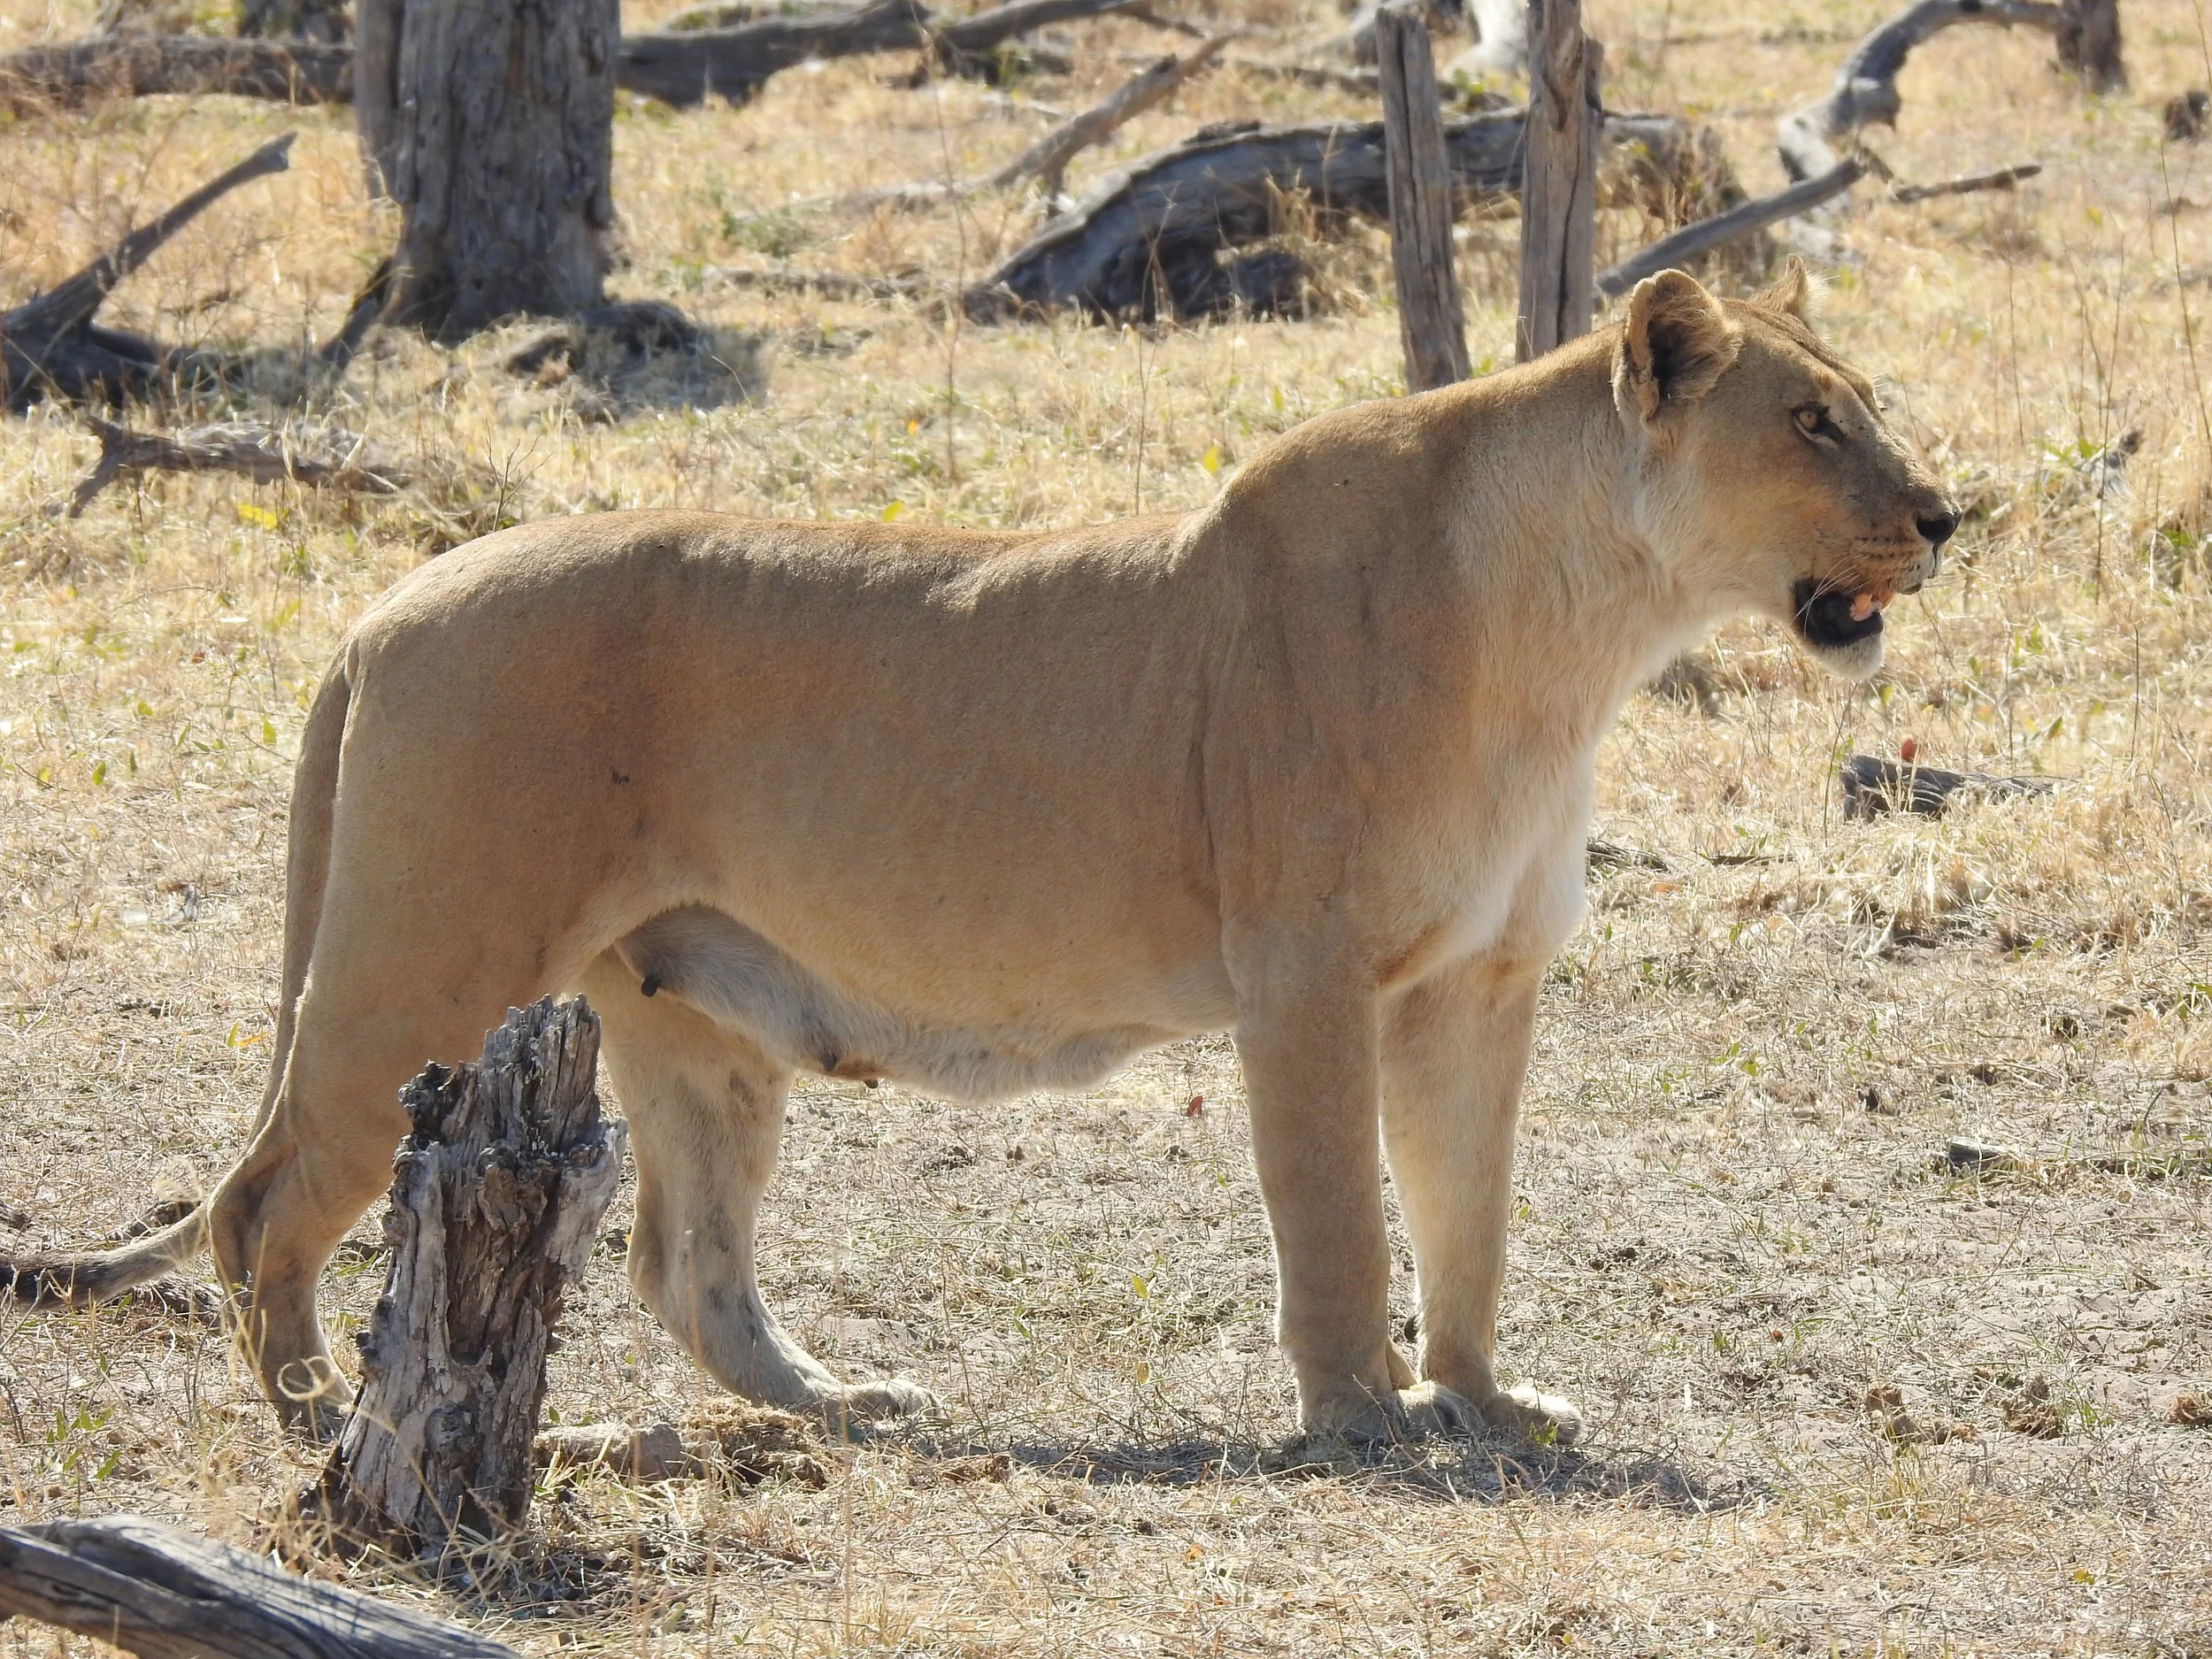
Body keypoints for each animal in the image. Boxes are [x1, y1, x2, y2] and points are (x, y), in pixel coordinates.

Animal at [3, 264, 1956, 1446]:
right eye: (1810, 421)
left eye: (1868, 405)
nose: (1948, 512)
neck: (1576, 636)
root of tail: (378, 610)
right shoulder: (1303, 969)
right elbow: (1337, 1214)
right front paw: (1361, 1413)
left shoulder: (1477, 980)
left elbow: (1466, 1212)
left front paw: (1485, 1399)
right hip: (428, 951)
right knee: (263, 1202)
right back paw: (326, 1422)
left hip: (684, 1009)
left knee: (682, 1265)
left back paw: (845, 1400)